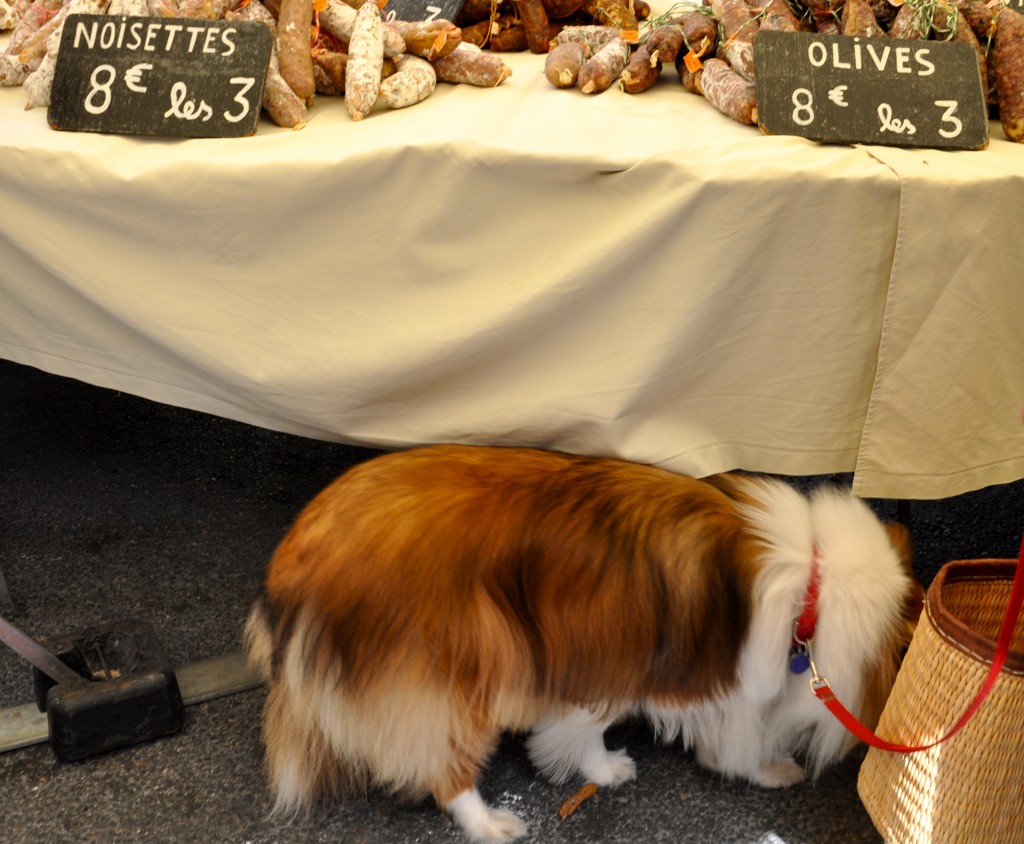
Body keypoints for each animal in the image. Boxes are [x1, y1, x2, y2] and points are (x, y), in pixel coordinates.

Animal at [245, 444, 921, 839]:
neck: (813, 579)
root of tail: (301, 551)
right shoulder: (622, 662)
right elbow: (615, 727)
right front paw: (764, 768)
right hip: (463, 670)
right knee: (445, 767)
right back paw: (491, 823)